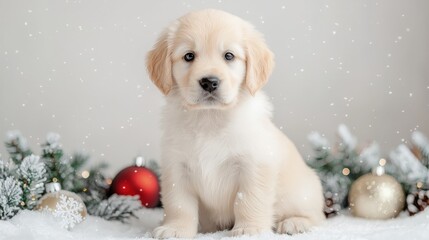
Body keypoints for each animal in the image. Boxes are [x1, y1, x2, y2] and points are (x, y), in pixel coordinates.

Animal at [145, 8, 322, 238]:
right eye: (189, 56)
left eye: (229, 56)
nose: (209, 82)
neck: (210, 118)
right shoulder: (176, 167)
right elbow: (179, 204)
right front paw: (175, 229)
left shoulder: (253, 164)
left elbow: (248, 199)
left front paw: (249, 229)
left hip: (301, 192)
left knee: (318, 216)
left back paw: (295, 222)